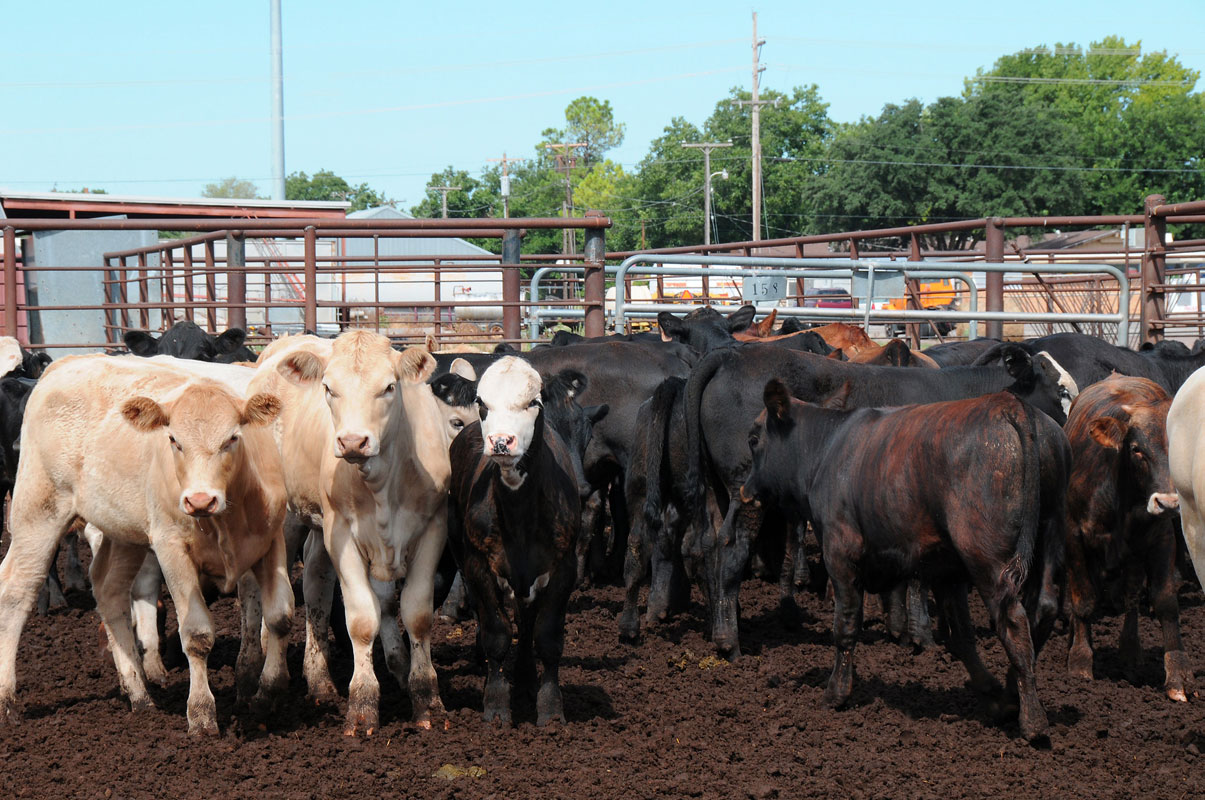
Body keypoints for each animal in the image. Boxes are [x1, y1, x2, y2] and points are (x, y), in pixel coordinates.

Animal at [0, 355, 291, 734]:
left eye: (232, 438)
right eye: (174, 440)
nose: (199, 500)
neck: (228, 512)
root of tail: (67, 363)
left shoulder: (272, 541)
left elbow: (280, 618)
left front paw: (266, 695)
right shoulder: (171, 548)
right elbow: (196, 635)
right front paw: (201, 715)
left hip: (123, 533)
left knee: (109, 590)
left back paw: (139, 693)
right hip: (37, 510)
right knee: (16, 590)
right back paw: (7, 700)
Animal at [250, 330, 450, 734]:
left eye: (389, 386)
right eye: (329, 387)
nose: (353, 441)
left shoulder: (434, 526)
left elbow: (416, 613)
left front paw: (425, 698)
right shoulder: (340, 531)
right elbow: (361, 619)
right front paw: (362, 704)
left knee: (315, 583)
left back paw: (320, 680)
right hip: (288, 517)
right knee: (276, 598)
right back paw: (267, 680)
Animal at [446, 357, 592, 724]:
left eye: (534, 402)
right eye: (481, 402)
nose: (501, 441)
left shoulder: (563, 567)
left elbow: (547, 637)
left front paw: (551, 708)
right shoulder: (478, 565)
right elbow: (496, 633)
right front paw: (496, 705)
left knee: (526, 623)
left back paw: (526, 679)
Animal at [741, 383, 1063, 741]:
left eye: (753, 439)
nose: (746, 491)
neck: (827, 450)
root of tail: (1009, 404)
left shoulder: (840, 554)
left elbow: (845, 626)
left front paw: (836, 693)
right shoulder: (946, 570)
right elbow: (961, 637)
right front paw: (993, 696)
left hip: (988, 559)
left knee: (1014, 623)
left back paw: (1033, 723)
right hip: (1047, 537)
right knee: (1043, 607)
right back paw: (1011, 692)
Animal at [1062, 376, 1191, 701]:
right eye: (1136, 449)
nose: (1169, 503)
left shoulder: (1161, 539)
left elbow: (1165, 603)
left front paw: (1177, 678)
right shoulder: (1074, 538)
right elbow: (1084, 600)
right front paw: (1080, 662)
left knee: (1131, 595)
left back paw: (1131, 651)